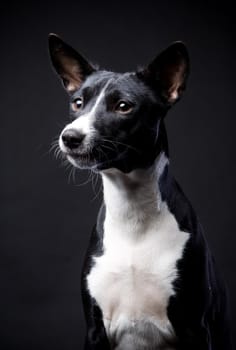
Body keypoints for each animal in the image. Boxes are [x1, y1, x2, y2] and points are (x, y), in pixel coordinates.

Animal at [48, 33, 232, 350]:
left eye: (124, 106)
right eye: (78, 103)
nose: (70, 137)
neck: (132, 213)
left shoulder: (194, 329)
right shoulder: (95, 330)